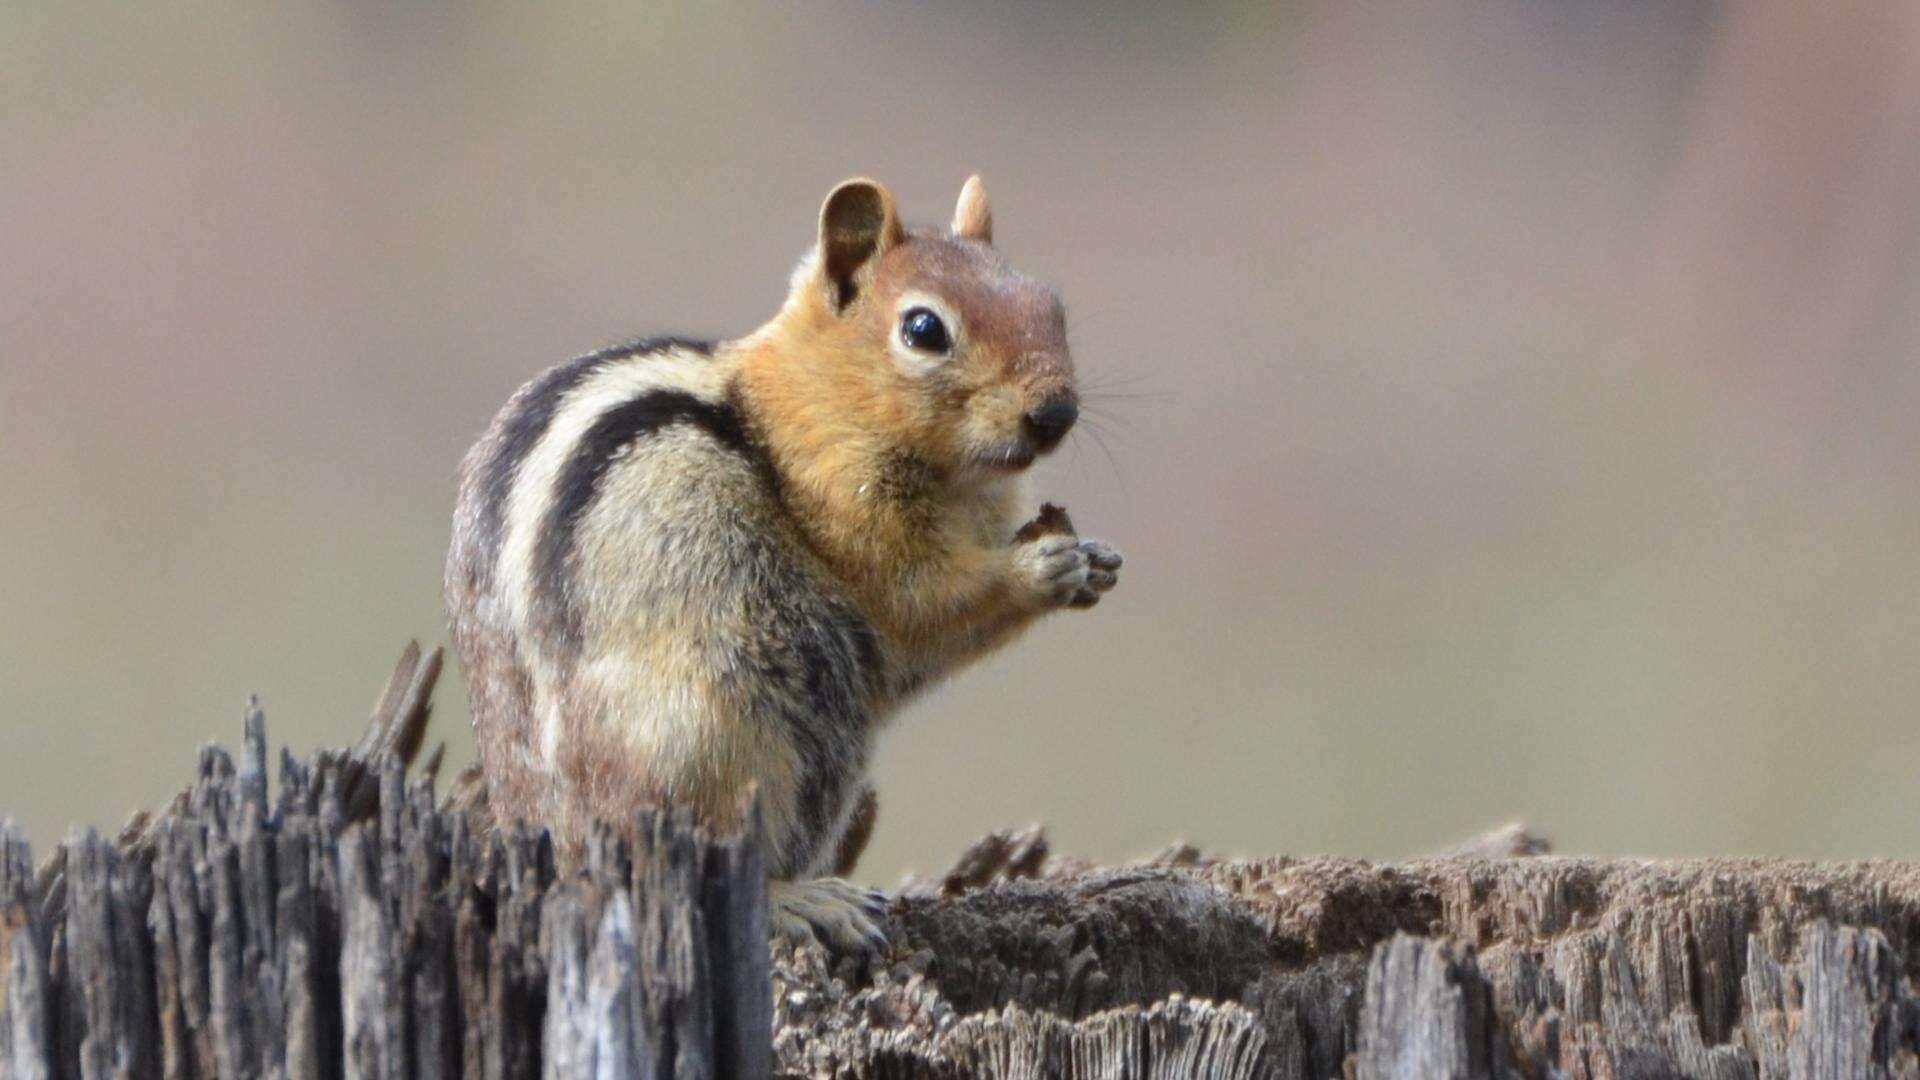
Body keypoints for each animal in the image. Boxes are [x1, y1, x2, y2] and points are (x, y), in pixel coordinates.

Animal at [441, 174, 1121, 941]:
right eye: (924, 330)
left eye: (1051, 304)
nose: (1056, 413)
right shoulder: (848, 510)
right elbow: (920, 602)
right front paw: (1042, 570)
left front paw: (1094, 558)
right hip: (706, 741)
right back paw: (806, 899)